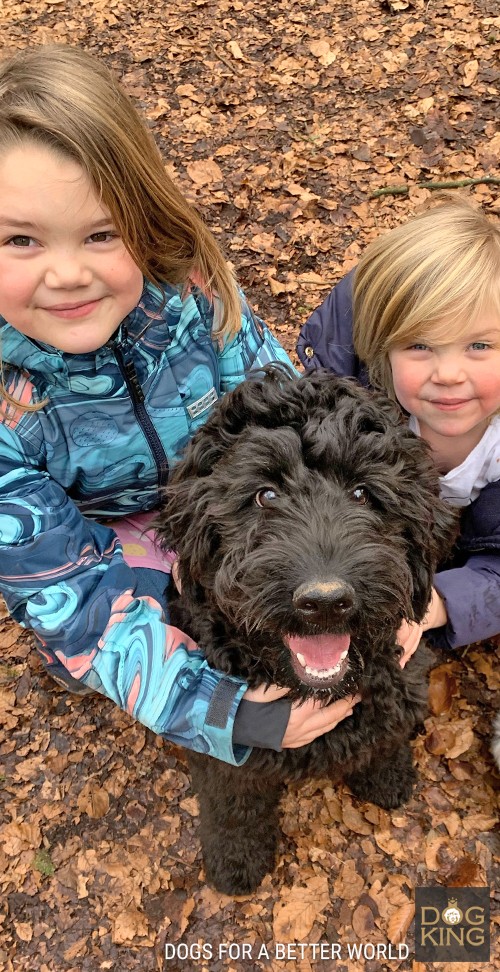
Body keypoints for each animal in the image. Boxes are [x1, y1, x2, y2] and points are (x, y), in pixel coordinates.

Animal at [156, 368, 458, 892]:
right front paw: (236, 860)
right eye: (265, 495)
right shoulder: (219, 739)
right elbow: (232, 803)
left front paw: (388, 777)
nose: (326, 602)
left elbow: (387, 734)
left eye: (362, 493)